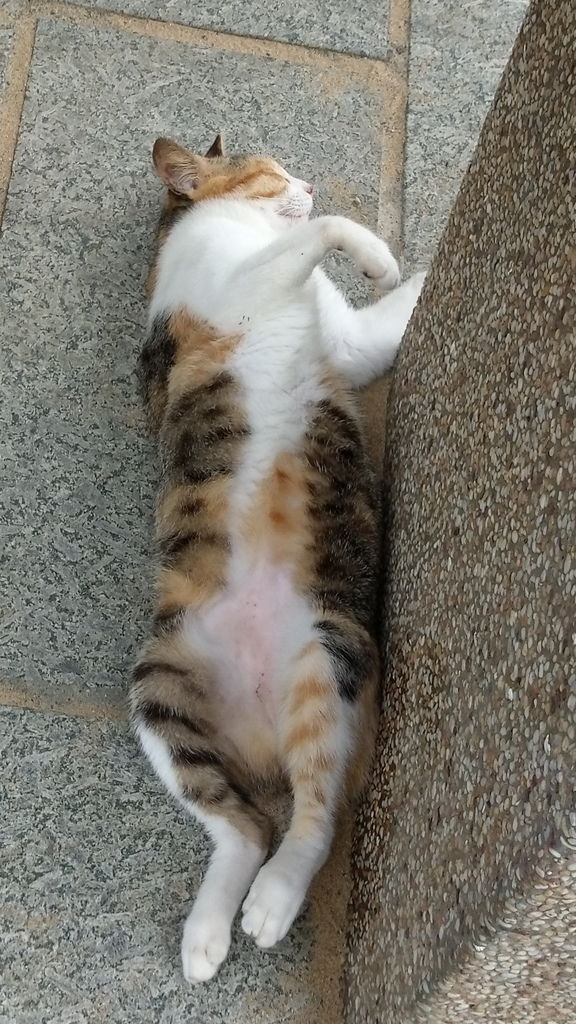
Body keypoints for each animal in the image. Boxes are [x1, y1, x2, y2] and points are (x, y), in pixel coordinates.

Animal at [129, 133, 424, 983]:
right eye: (272, 168)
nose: (310, 180)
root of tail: (263, 728)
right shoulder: (240, 283)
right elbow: (326, 231)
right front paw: (381, 257)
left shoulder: (349, 344)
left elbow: (381, 322)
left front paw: (419, 273)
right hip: (172, 684)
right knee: (292, 825)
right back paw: (255, 912)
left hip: (303, 669)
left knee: (270, 819)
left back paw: (210, 934)